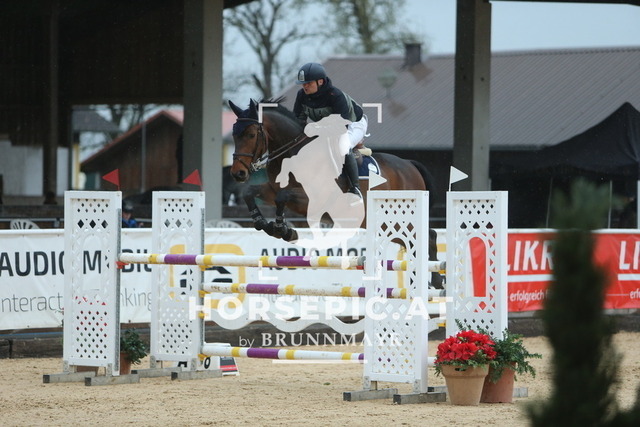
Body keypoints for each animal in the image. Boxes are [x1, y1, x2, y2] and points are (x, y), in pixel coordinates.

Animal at [228, 99, 442, 287]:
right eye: (234, 136)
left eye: (251, 135)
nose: (238, 173)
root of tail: (409, 165)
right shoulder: (272, 190)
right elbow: (250, 192)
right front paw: (263, 223)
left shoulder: (315, 200)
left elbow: (283, 197)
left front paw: (283, 230)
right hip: (388, 223)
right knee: (414, 242)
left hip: (399, 217)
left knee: (428, 237)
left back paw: (436, 280)